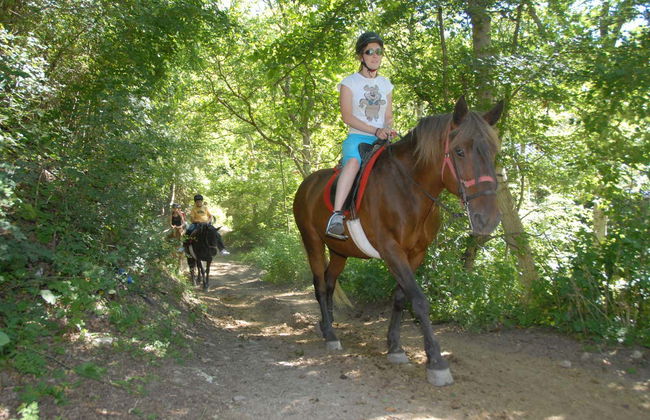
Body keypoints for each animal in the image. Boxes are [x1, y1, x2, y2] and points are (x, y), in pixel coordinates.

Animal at [293, 97, 503, 386]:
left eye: (494, 152)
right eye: (459, 151)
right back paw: (331, 336)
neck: (409, 190)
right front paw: (436, 361)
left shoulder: (416, 253)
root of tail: (307, 183)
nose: (488, 219)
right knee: (320, 285)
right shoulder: (391, 250)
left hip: (338, 250)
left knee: (330, 281)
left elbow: (401, 298)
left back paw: (328, 326)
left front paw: (394, 347)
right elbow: (420, 300)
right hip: (312, 241)